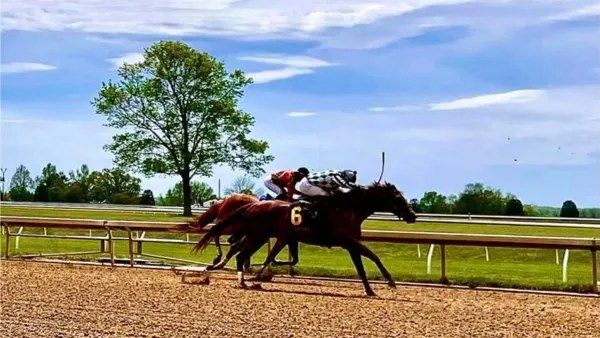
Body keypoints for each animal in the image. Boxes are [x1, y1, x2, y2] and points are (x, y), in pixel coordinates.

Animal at [197, 182, 418, 296]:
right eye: (398, 198)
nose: (413, 215)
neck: (347, 209)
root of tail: (251, 205)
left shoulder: (350, 244)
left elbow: (365, 264)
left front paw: (372, 289)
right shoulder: (348, 241)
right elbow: (371, 258)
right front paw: (388, 282)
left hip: (257, 236)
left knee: (239, 252)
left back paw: (242, 279)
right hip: (257, 235)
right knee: (238, 252)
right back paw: (244, 278)